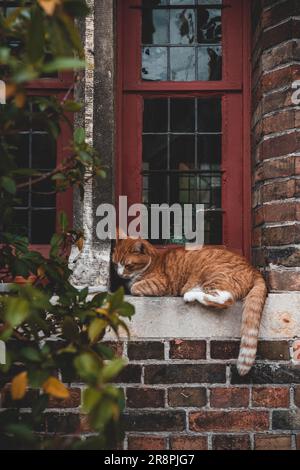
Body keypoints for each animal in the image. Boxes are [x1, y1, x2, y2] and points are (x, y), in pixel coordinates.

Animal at [112, 237, 268, 376]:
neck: (153, 261)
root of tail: (254, 269)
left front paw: (133, 286)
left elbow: (135, 287)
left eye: (128, 265)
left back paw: (190, 294)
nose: (119, 274)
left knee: (225, 299)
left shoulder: (159, 284)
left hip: (213, 274)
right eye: (115, 264)